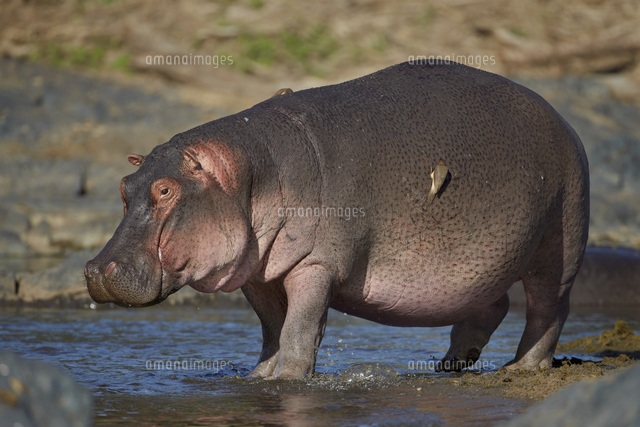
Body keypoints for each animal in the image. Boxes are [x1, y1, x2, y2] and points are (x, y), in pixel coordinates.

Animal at [85, 61, 590, 379]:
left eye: (165, 190)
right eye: (124, 185)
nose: (95, 268)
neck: (254, 173)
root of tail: (562, 118)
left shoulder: (316, 266)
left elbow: (299, 330)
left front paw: (289, 380)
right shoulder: (259, 272)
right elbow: (271, 331)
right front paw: (256, 378)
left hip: (559, 242)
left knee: (549, 309)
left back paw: (521, 368)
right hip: (480, 271)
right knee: (490, 308)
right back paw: (446, 368)